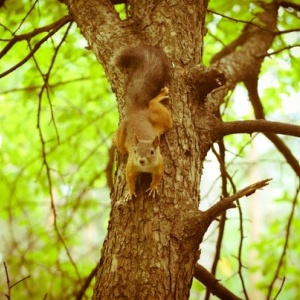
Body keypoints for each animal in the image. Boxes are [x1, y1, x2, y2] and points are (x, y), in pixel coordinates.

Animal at [112, 45, 172, 198]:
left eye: (152, 152)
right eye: (135, 151)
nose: (141, 160)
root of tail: (136, 112)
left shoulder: (159, 164)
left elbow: (158, 177)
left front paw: (153, 188)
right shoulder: (130, 165)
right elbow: (129, 178)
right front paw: (131, 192)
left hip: (164, 120)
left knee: (152, 104)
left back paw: (161, 95)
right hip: (123, 135)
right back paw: (114, 139)